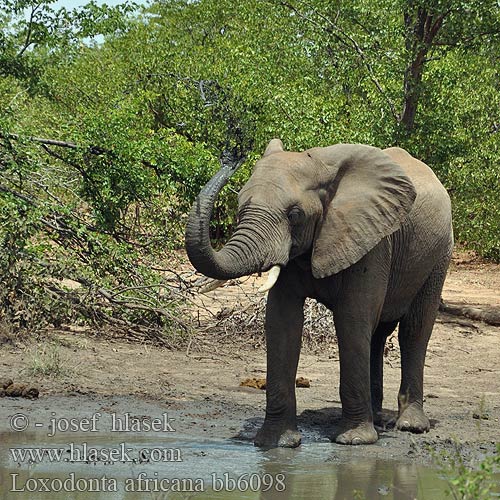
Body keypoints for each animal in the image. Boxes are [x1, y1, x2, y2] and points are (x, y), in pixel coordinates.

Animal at [184, 141, 454, 450]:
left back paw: (410, 425)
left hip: (439, 255)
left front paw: (353, 441)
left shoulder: (372, 240)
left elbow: (351, 320)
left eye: (294, 215)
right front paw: (275, 443)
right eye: (240, 207)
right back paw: (377, 418)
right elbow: (282, 322)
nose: (231, 156)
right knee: (376, 334)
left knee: (413, 330)